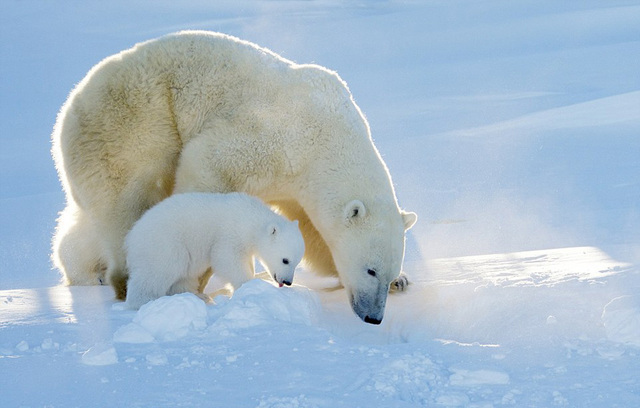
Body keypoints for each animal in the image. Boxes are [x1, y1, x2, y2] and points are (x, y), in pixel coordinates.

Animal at [125, 192, 304, 310]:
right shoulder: (229, 234)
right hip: (165, 243)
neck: (250, 219)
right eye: (285, 260)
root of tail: (131, 237)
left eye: (297, 262)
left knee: (184, 277)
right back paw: (146, 300)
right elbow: (226, 259)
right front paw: (249, 286)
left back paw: (199, 297)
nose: (288, 282)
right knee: (158, 272)